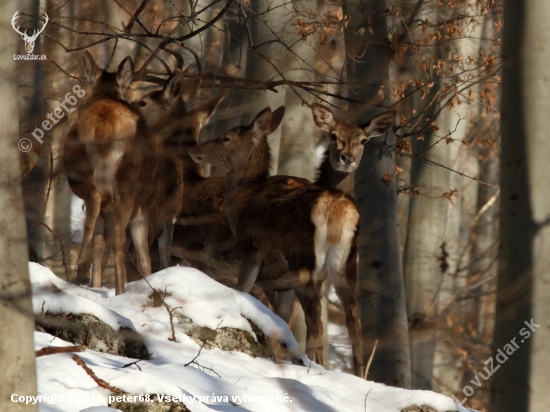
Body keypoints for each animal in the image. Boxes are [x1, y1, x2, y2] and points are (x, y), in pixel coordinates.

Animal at [188, 107, 368, 376]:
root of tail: (341, 212)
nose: (195, 148)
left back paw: (314, 367)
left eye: (226, 138)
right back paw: (359, 374)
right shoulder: (280, 280)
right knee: (354, 319)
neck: (241, 205)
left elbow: (243, 289)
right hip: (347, 264)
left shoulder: (252, 249)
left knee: (316, 317)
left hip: (304, 259)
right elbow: (282, 317)